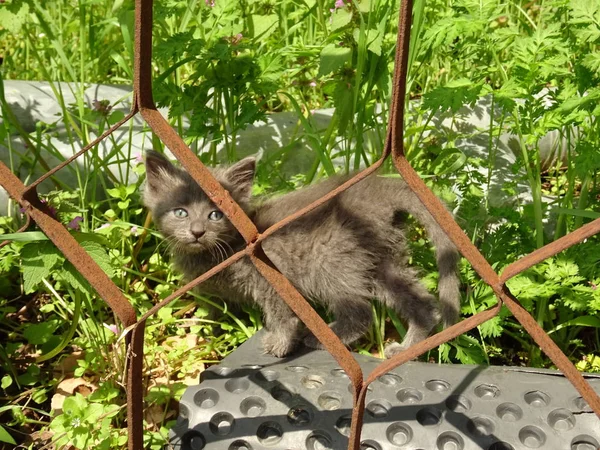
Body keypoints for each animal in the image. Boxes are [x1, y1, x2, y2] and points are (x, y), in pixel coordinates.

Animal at [143, 151, 462, 358]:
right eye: (181, 212)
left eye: (215, 214)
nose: (197, 232)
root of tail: (378, 188)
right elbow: (217, 311)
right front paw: (209, 330)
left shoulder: (271, 277)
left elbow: (283, 315)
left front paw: (280, 345)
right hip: (380, 260)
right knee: (422, 303)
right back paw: (409, 347)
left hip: (330, 261)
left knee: (360, 311)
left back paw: (325, 338)